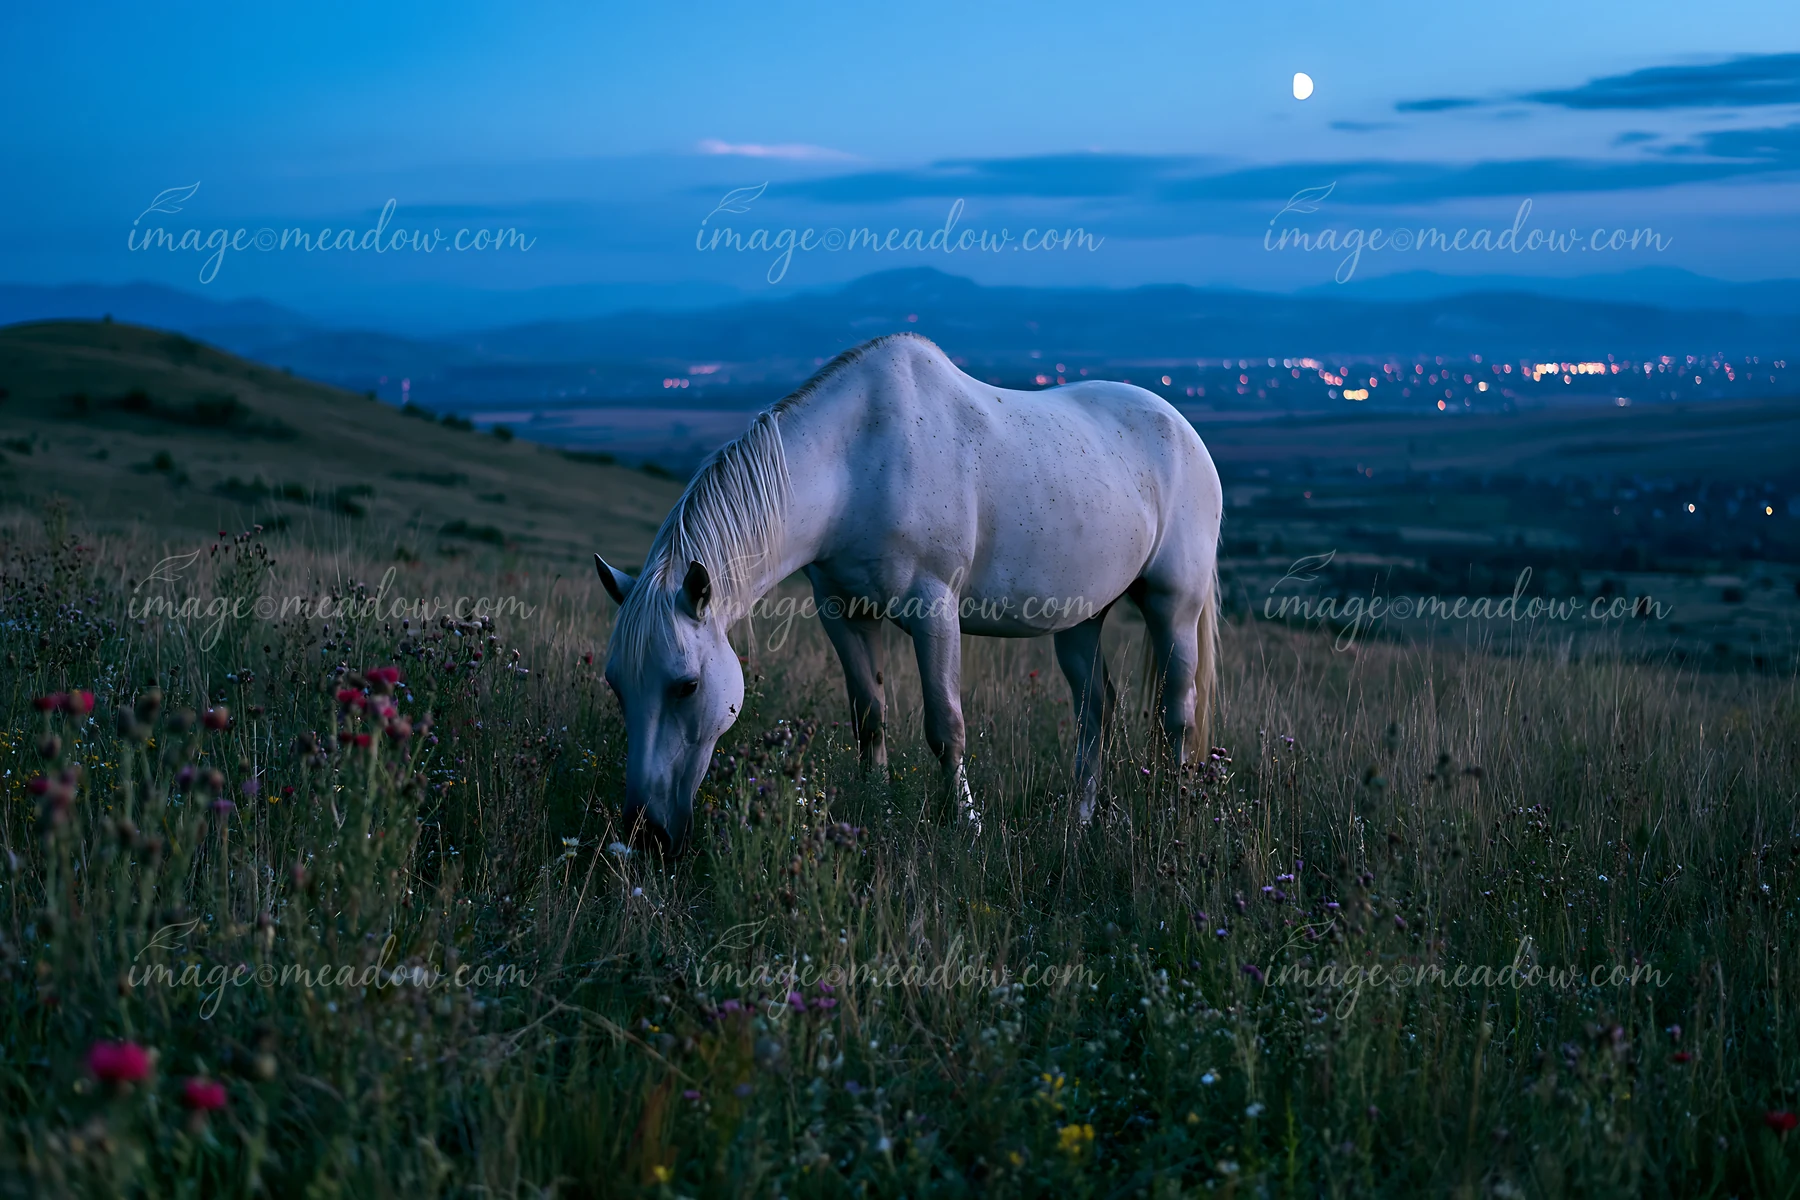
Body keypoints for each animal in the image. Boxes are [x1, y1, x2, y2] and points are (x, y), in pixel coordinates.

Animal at [597, 332, 1222, 849]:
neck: (855, 463)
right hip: (1081, 619)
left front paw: (967, 824)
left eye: (687, 686)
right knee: (1097, 710)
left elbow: (947, 728)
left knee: (1179, 712)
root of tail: (1182, 428)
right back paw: (1081, 821)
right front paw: (876, 809)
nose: (643, 833)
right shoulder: (842, 612)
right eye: (617, 687)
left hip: (1174, 605)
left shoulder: (934, 611)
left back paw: (1175, 814)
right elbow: (869, 718)